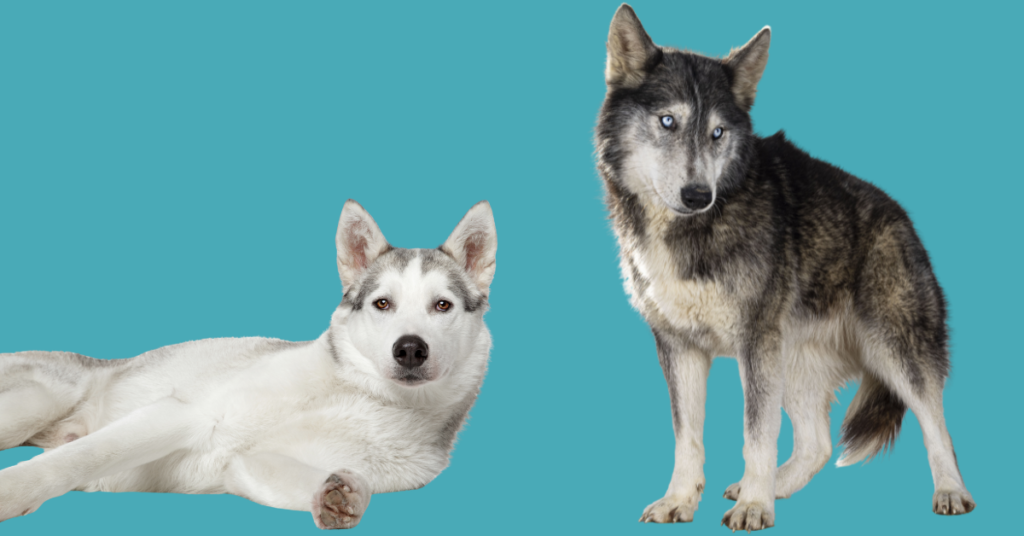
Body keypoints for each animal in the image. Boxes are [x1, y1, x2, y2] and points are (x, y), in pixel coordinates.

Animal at [0, 199, 497, 530]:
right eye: (382, 303)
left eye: (442, 305)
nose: (410, 349)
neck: (359, 394)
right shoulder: (182, 413)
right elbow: (75, 460)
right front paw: (14, 493)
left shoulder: (246, 467)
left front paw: (341, 495)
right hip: (31, 405)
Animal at [595, 4, 974, 531]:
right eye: (668, 122)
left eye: (717, 133)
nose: (698, 195)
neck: (693, 231)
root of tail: (904, 219)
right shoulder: (680, 347)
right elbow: (687, 438)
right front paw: (682, 501)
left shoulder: (755, 343)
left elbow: (757, 433)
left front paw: (755, 507)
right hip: (791, 362)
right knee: (817, 444)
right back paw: (770, 484)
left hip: (895, 352)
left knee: (937, 424)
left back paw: (951, 492)